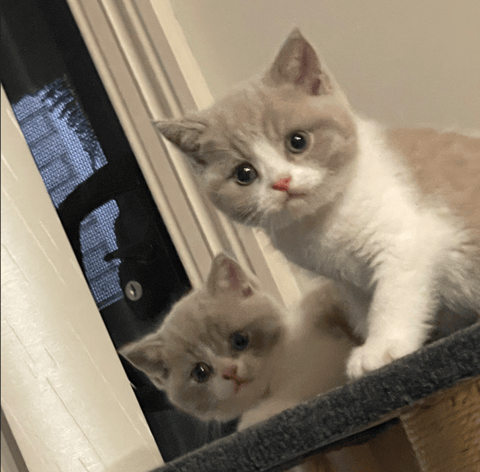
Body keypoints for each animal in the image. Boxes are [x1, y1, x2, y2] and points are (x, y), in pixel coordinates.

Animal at [156, 29, 478, 378]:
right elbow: (363, 311)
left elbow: (392, 298)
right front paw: (369, 343)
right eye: (244, 174)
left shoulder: (404, 241)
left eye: (298, 141)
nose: (282, 182)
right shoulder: (349, 283)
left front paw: (380, 349)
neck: (324, 220)